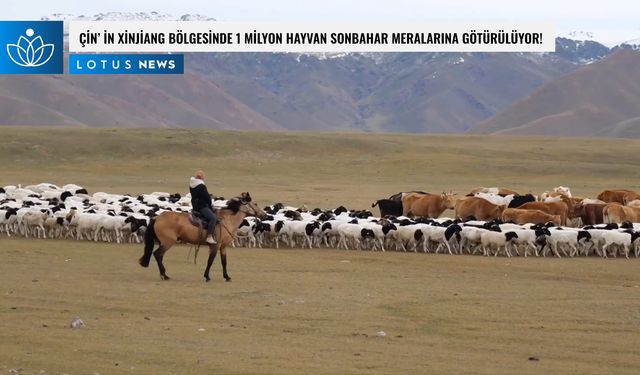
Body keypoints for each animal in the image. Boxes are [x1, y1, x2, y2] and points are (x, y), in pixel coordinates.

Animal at [139, 194, 268, 282]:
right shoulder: (215, 245)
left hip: (164, 243)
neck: (227, 220)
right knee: (157, 255)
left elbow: (224, 262)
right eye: (255, 204)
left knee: (159, 256)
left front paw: (227, 277)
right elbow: (210, 261)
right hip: (167, 242)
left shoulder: (223, 246)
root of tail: (157, 218)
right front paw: (207, 276)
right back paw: (164, 275)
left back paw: (164, 274)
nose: (265, 215)